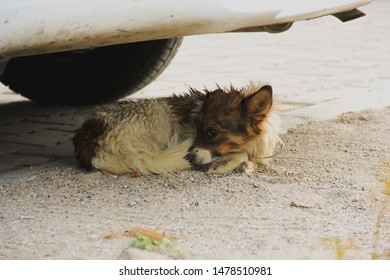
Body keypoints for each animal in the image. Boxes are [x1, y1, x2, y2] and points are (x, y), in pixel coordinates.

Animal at [71, 81, 282, 176]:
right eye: (197, 129)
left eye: (212, 132)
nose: (189, 156)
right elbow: (240, 154)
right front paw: (228, 163)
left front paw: (247, 164)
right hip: (158, 116)